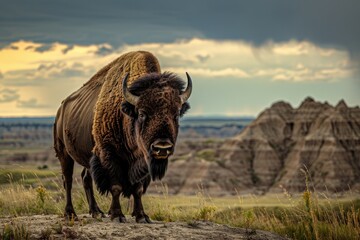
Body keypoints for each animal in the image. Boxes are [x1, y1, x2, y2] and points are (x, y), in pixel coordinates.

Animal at [53, 51, 191, 223]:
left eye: (176, 115)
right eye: (142, 114)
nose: (162, 147)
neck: (125, 113)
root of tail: (61, 109)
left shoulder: (142, 161)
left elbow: (138, 189)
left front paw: (141, 216)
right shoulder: (109, 155)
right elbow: (116, 186)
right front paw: (117, 215)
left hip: (88, 156)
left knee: (86, 178)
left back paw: (96, 212)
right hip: (63, 152)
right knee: (68, 180)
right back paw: (70, 213)